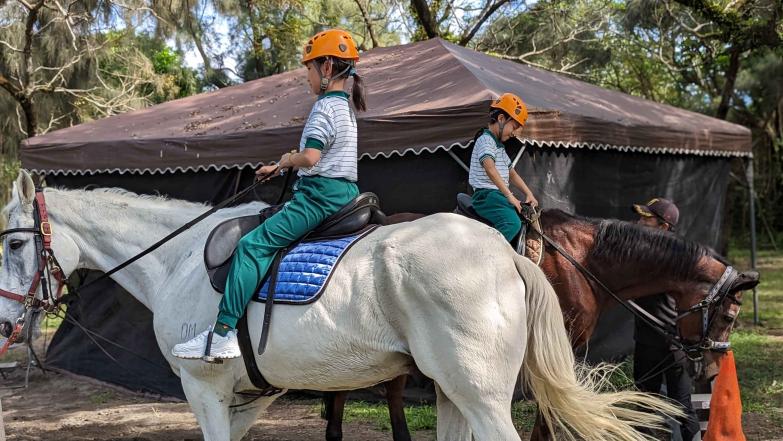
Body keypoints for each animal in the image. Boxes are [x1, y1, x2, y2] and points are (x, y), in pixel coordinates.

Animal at [1, 171, 680, 440]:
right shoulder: (248, 398)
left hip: (482, 394)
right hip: (451, 391)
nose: (7, 322)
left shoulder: (205, 391)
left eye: (12, 243)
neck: (178, 259)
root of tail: (504, 252)